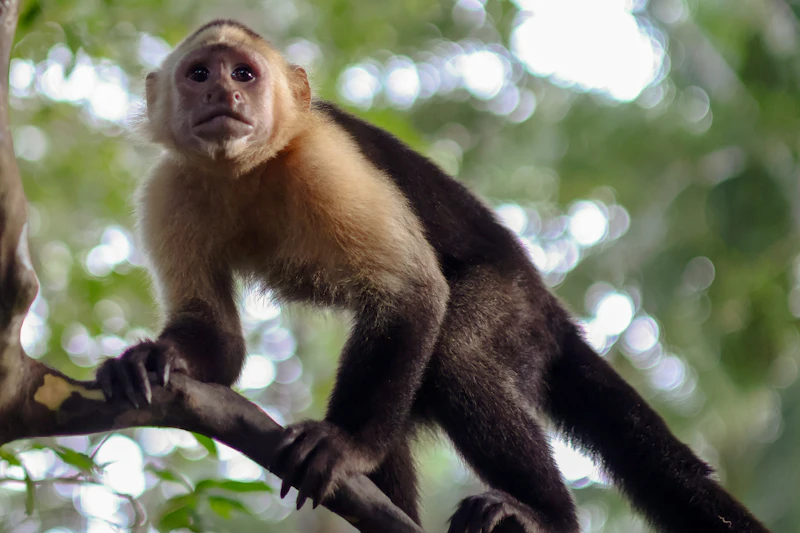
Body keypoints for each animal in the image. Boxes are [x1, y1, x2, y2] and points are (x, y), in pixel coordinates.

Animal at [95, 19, 771, 533]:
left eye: (243, 75)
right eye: (199, 75)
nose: (222, 97)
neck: (248, 169)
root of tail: (550, 309)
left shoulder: (324, 159)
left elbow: (410, 291)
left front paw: (348, 448)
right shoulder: (170, 189)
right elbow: (220, 342)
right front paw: (155, 358)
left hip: (512, 309)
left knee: (454, 354)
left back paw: (544, 515)